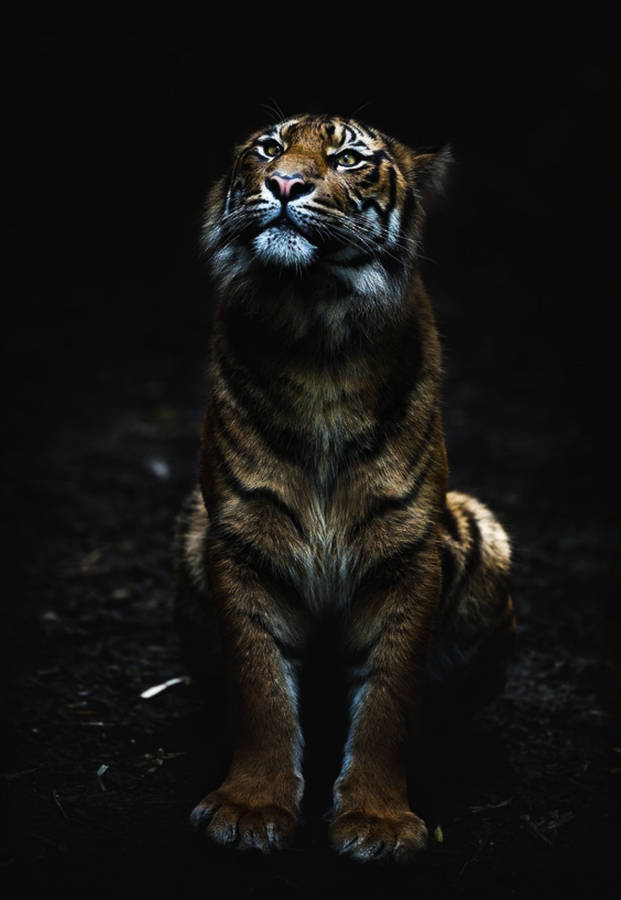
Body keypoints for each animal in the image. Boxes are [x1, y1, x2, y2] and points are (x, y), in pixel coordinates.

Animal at [174, 113, 514, 863]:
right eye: (269, 148)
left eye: (349, 159)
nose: (283, 184)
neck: (316, 339)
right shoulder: (239, 540)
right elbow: (261, 689)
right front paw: (250, 808)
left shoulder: (407, 550)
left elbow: (389, 696)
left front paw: (378, 823)